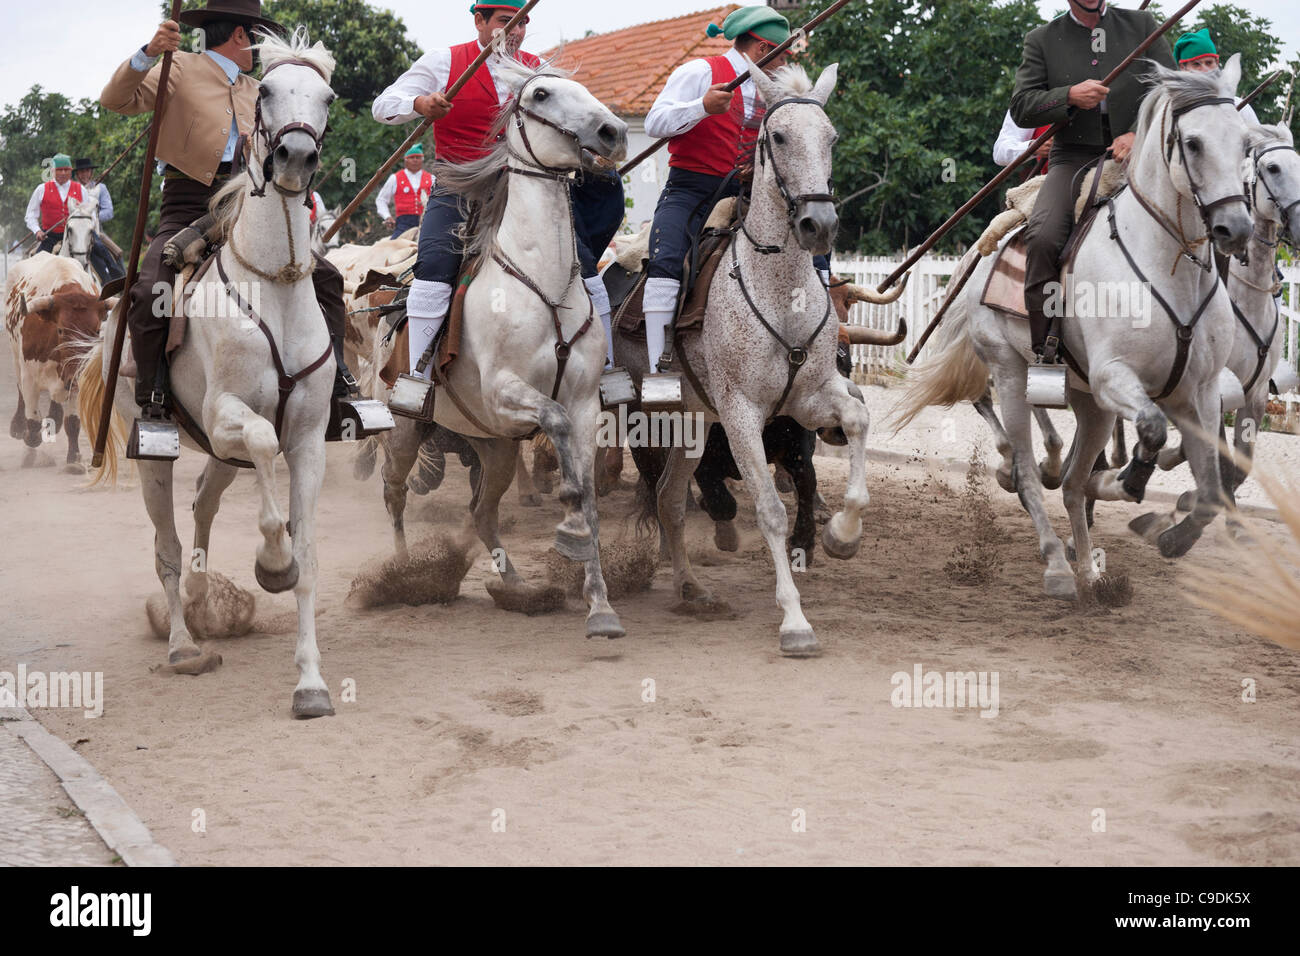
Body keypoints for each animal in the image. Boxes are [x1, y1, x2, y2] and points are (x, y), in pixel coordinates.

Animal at [4, 251, 109, 468]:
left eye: (96, 331)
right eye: (60, 330)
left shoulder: (76, 380)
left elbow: (73, 422)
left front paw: (74, 459)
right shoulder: (30, 379)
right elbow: (33, 425)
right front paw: (30, 440)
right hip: (15, 356)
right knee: (20, 393)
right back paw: (18, 428)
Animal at [78, 27, 343, 717]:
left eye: (327, 96)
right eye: (268, 91)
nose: (295, 159)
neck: (274, 285)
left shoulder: (311, 440)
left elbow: (309, 553)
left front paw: (311, 680)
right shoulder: (231, 417)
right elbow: (266, 445)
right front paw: (272, 562)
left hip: (219, 455)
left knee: (201, 504)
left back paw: (201, 595)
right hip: (157, 451)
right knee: (167, 548)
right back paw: (181, 645)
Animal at [377, 55, 629, 639]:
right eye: (540, 94)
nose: (613, 131)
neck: (543, 282)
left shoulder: (584, 405)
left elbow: (589, 492)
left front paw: (600, 605)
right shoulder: (504, 390)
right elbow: (555, 427)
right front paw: (569, 523)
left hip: (494, 446)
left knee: (482, 511)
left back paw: (513, 583)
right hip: (405, 431)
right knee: (394, 492)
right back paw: (402, 571)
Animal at [618, 59, 904, 658]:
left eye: (831, 137)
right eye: (778, 137)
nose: (819, 224)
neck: (779, 289)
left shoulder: (809, 400)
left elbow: (857, 421)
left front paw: (842, 535)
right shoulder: (743, 413)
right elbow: (771, 510)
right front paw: (794, 620)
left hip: (691, 422)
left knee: (670, 501)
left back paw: (691, 588)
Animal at [894, 57, 1258, 598]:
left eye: (1245, 143)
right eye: (1193, 143)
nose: (1236, 228)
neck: (1170, 268)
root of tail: (978, 263)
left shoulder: (1201, 392)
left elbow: (1211, 487)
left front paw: (1170, 536)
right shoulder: (1115, 378)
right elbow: (1151, 432)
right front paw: (1129, 485)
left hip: (1090, 404)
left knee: (1069, 485)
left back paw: (1089, 569)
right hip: (1013, 374)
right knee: (1028, 472)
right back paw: (1058, 563)